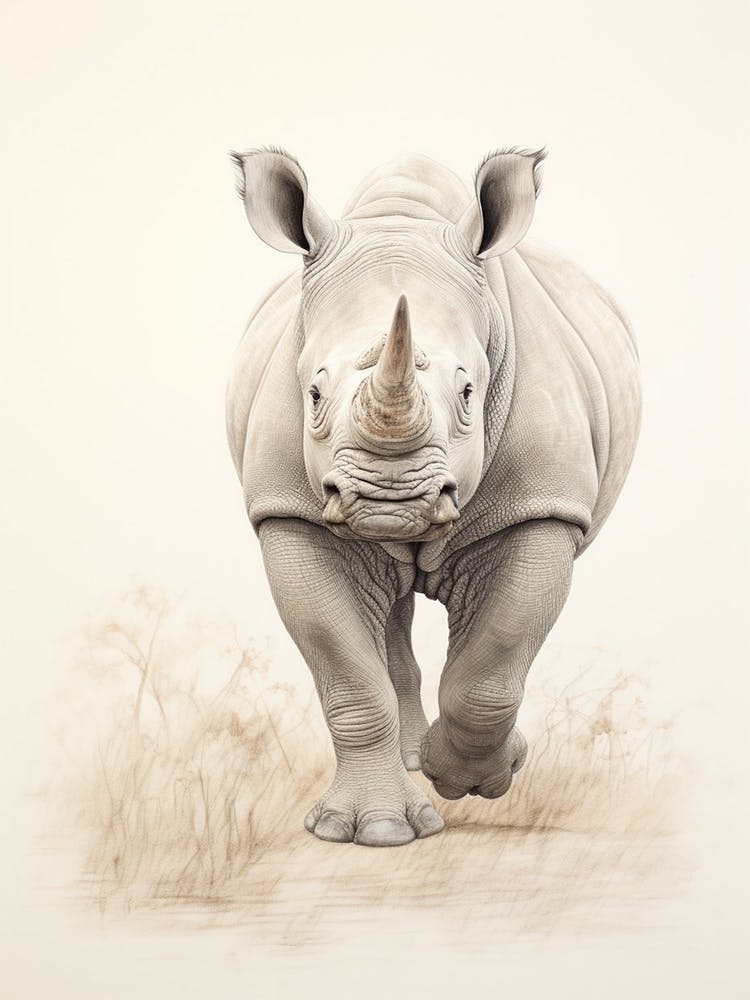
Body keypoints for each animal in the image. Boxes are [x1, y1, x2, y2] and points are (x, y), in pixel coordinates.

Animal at [226, 147, 641, 847]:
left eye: (469, 392)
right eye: (314, 394)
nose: (388, 499)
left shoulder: (541, 507)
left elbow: (495, 664)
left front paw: (474, 778)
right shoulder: (290, 509)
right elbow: (345, 669)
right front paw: (373, 831)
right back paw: (409, 766)